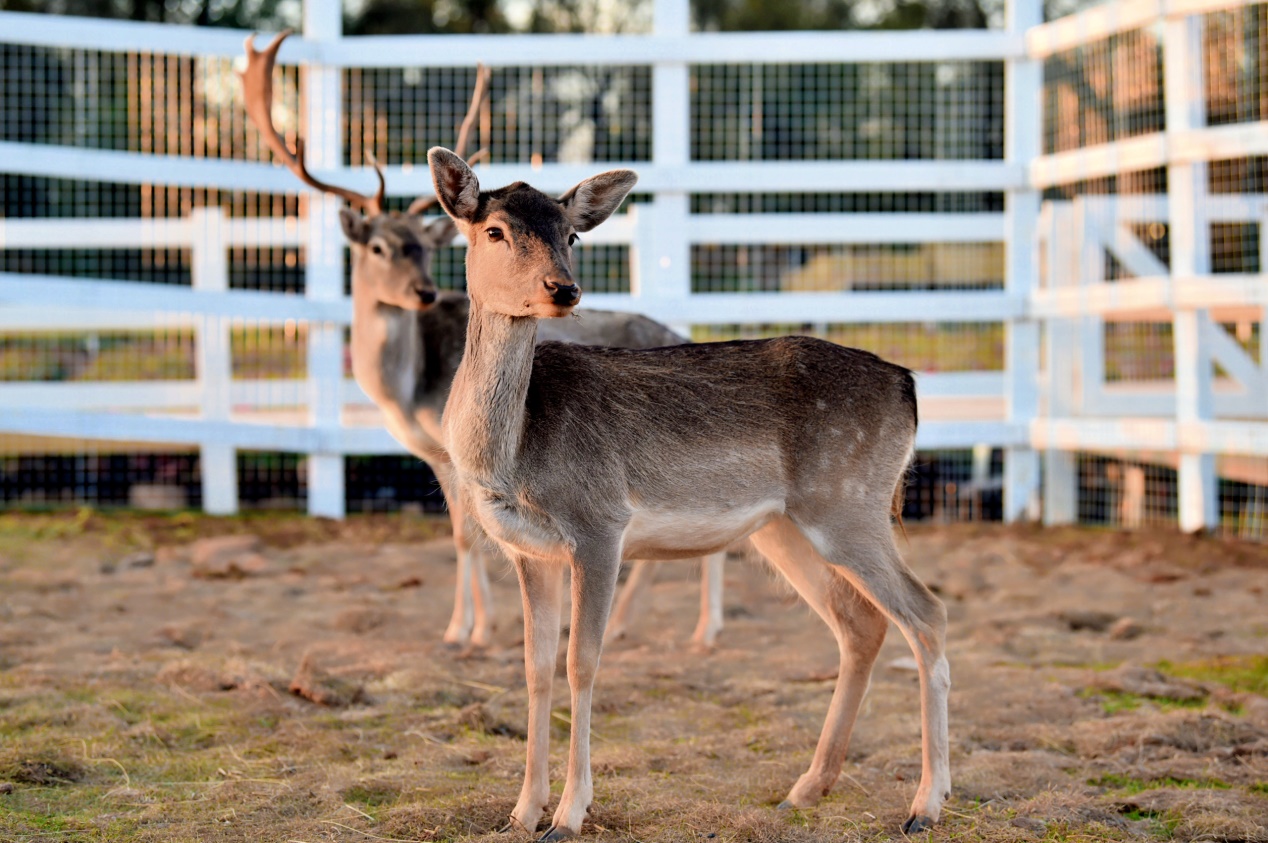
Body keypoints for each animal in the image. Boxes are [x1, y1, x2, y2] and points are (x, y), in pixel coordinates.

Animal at [242, 32, 730, 646]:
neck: (406, 393)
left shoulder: (456, 461)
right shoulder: (437, 458)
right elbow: (467, 536)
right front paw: (476, 625)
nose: (424, 292)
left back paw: (700, 630)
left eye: (425, 248)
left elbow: (467, 536)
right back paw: (638, 625)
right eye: (378, 247)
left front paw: (466, 631)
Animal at [426, 147, 953, 836]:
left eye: (570, 236)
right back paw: (806, 788)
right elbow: (535, 668)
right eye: (494, 231)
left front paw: (569, 814)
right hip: (786, 526)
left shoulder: (599, 523)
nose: (562, 289)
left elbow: (581, 661)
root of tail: (910, 384)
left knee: (928, 613)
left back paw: (926, 804)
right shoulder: (527, 551)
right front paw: (520, 814)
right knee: (861, 622)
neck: (512, 456)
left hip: (851, 503)